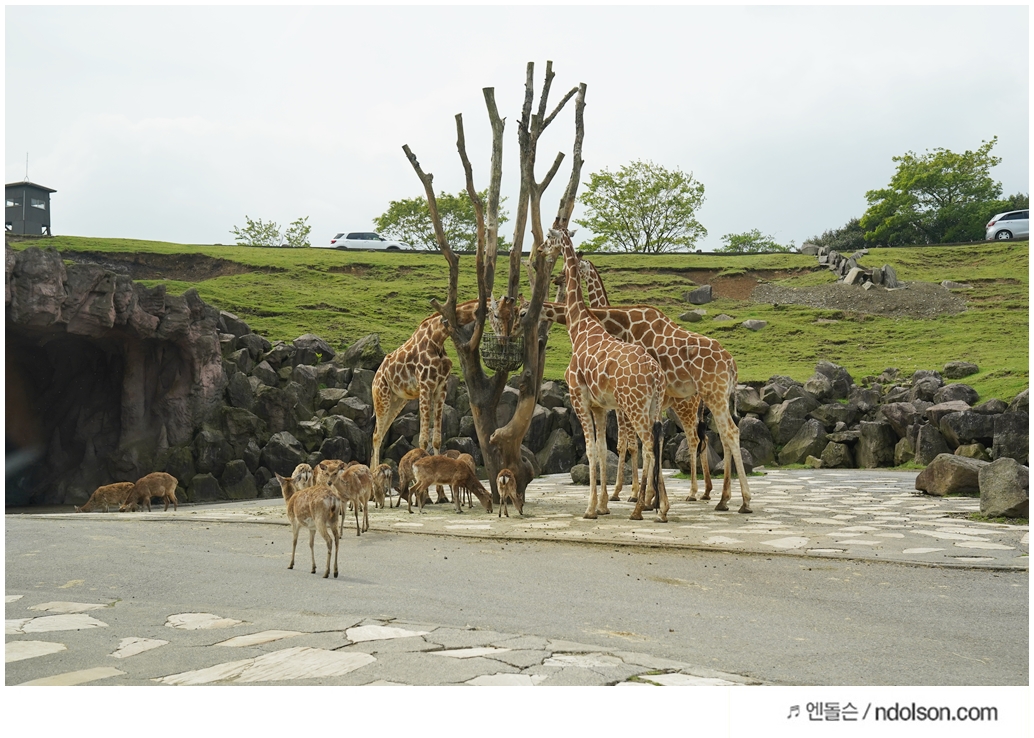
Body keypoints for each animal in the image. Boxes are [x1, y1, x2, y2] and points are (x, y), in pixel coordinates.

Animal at [535, 285, 752, 514]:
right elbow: (641, 442)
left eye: (522, 312)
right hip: (714, 399)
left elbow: (631, 444)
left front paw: (635, 495)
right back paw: (718, 497)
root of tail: (732, 364)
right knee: (717, 436)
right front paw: (644, 496)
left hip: (704, 399)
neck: (621, 324)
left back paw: (727, 498)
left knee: (715, 435)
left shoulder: (627, 401)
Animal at [543, 228, 669, 522]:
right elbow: (602, 448)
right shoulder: (601, 406)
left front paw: (590, 508)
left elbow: (592, 450)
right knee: (657, 441)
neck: (578, 327)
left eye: (549, 237)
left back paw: (641, 507)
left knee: (648, 445)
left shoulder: (579, 398)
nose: (541, 250)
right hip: (653, 407)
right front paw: (602, 505)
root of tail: (656, 375)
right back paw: (660, 506)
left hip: (635, 407)